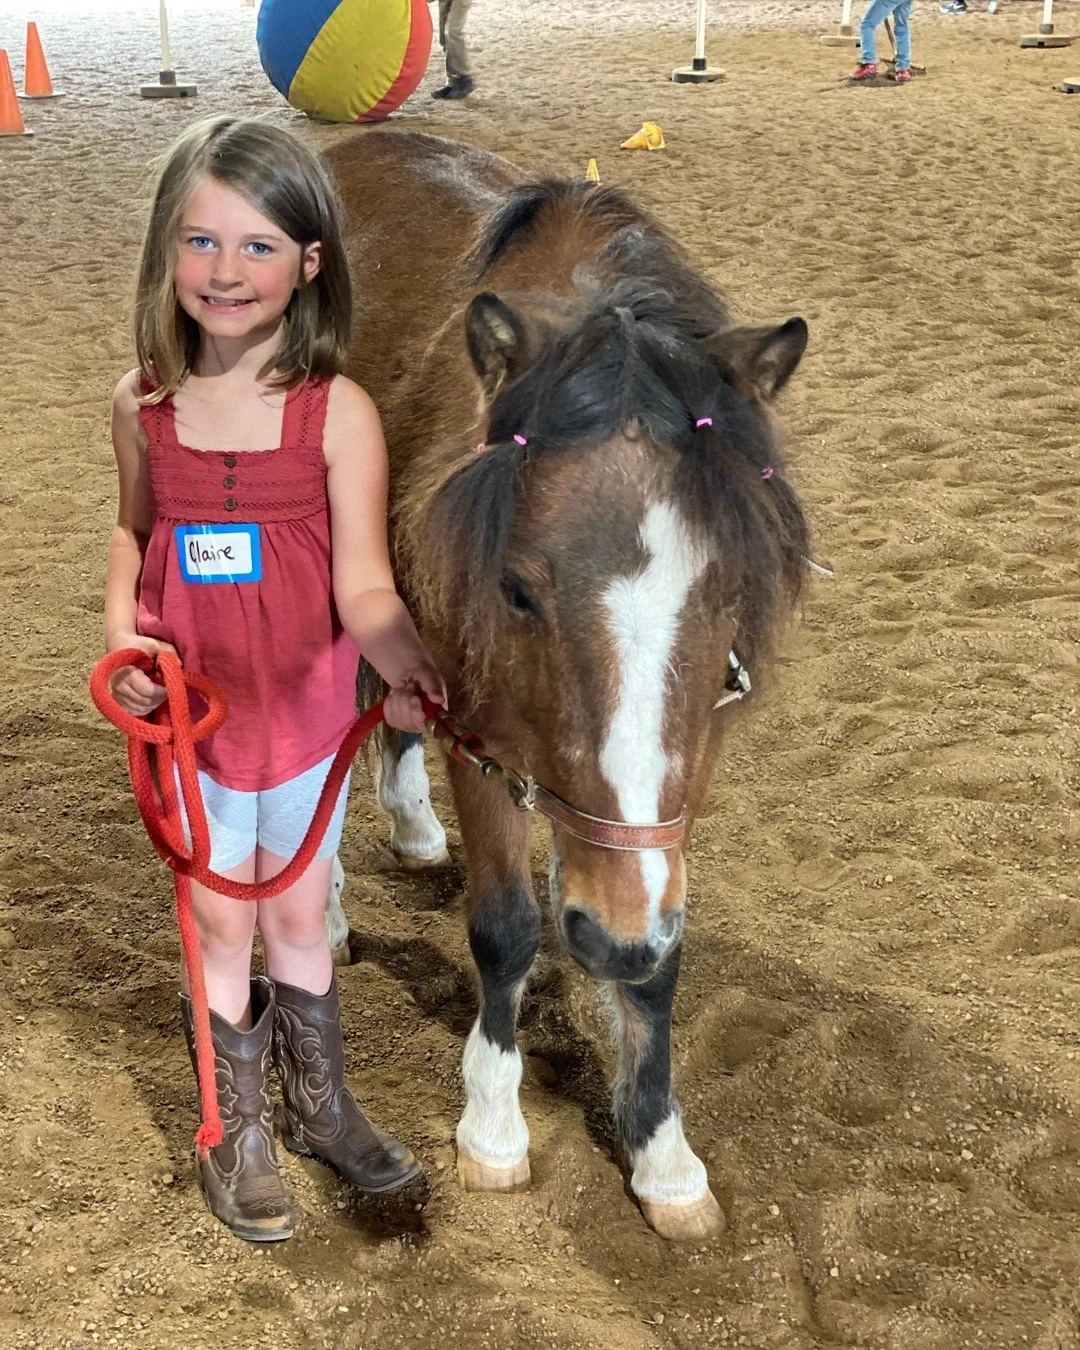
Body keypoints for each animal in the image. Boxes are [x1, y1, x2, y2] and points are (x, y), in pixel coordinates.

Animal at [323, 131, 811, 1240]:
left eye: (731, 595)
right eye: (517, 590)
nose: (608, 936)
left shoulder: (679, 777)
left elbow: (661, 950)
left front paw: (663, 1154)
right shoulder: (482, 740)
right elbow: (505, 930)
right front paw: (494, 1125)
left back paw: (413, 832)